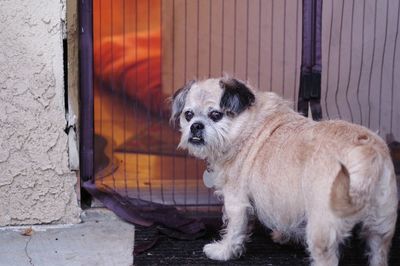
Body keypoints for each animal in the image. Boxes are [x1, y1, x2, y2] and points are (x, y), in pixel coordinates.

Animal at [170, 77, 398, 266]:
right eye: (188, 115)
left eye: (215, 115)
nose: (196, 126)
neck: (245, 128)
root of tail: (366, 151)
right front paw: (285, 236)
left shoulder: (236, 201)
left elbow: (234, 230)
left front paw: (223, 251)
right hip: (381, 227)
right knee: (378, 253)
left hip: (322, 229)